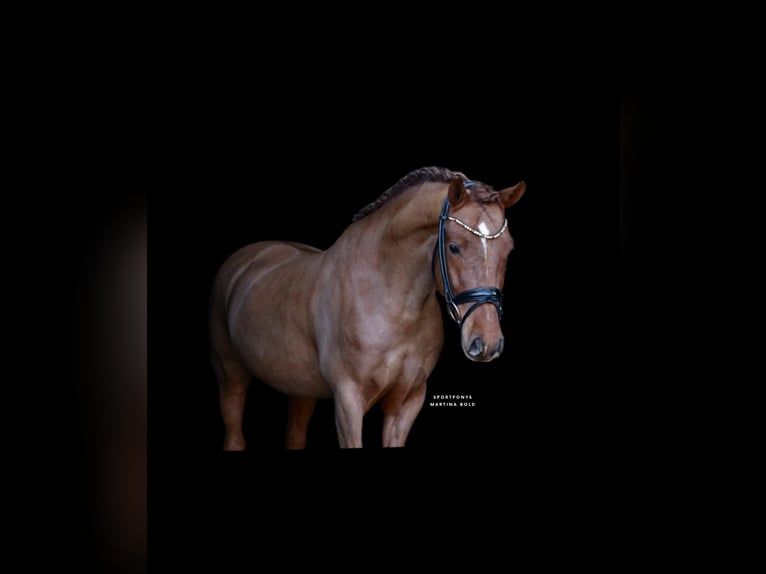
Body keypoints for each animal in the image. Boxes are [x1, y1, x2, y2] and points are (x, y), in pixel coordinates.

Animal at [209, 167, 525, 449]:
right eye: (454, 247)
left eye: (509, 250)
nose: (486, 342)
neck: (390, 303)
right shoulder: (348, 399)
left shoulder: (407, 401)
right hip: (231, 374)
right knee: (234, 437)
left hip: (299, 388)